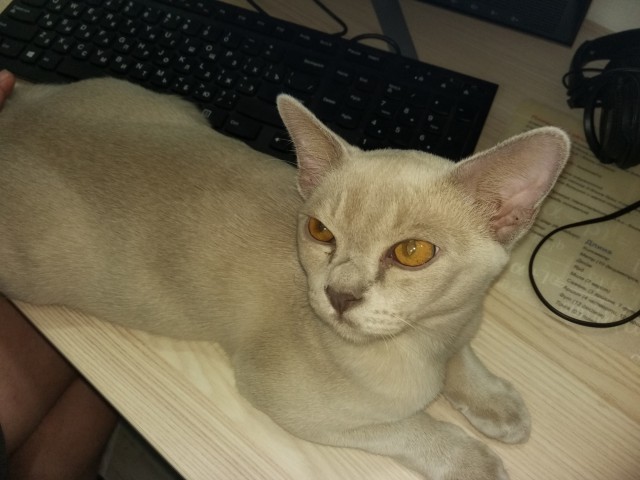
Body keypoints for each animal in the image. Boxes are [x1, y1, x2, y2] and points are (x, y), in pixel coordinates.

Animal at [0, 78, 570, 479]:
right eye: (320, 231)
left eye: (412, 253)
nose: (339, 295)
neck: (424, 340)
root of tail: (17, 105)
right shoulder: (288, 398)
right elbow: (409, 428)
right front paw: (474, 461)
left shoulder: (459, 322)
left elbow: (465, 357)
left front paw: (498, 404)